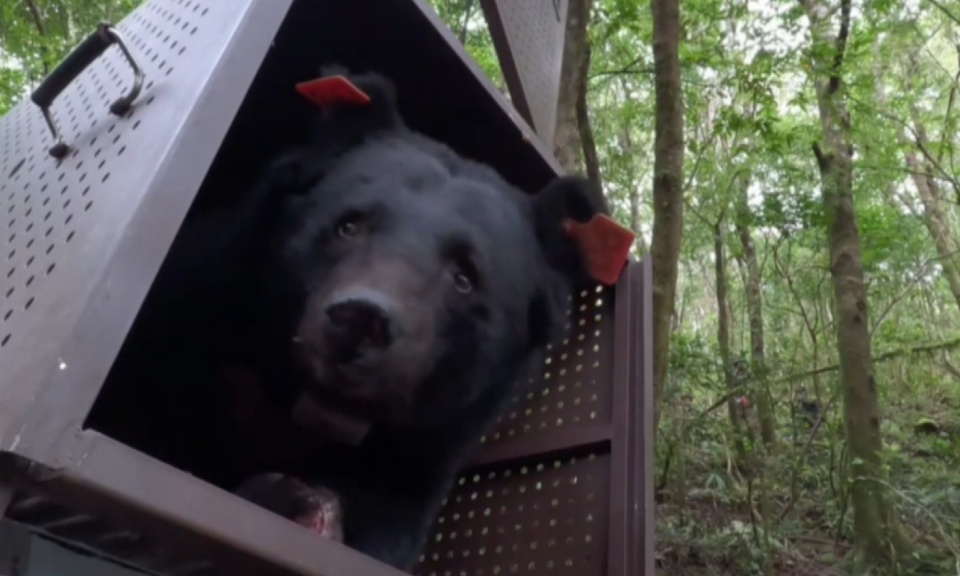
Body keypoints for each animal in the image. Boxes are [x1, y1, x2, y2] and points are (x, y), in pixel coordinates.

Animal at [92, 65, 611, 571]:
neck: (314, 408)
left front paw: (307, 503)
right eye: (348, 225)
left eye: (465, 278)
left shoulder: (418, 459)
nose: (361, 319)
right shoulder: (194, 310)